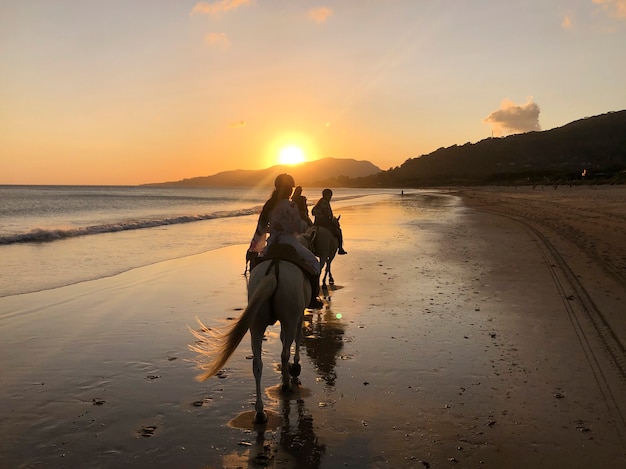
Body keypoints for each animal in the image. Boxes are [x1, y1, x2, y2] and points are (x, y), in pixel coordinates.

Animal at [188, 256, 310, 424]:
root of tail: (274, 270)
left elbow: (282, 337)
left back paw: (260, 412)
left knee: (257, 365)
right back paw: (285, 385)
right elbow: (297, 338)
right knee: (284, 354)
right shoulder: (299, 314)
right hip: (288, 317)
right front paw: (296, 366)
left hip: (257, 323)